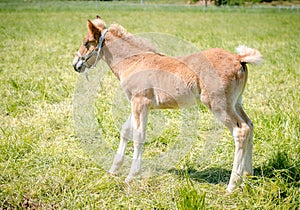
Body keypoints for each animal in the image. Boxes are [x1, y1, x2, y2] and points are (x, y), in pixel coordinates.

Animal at [71, 16, 262, 194]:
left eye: (86, 43)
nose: (75, 65)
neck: (134, 61)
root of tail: (238, 58)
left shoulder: (140, 102)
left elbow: (139, 136)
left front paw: (131, 176)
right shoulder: (135, 102)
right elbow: (126, 130)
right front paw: (113, 170)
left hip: (218, 105)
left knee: (241, 130)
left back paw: (232, 185)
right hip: (236, 103)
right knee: (250, 125)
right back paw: (247, 174)